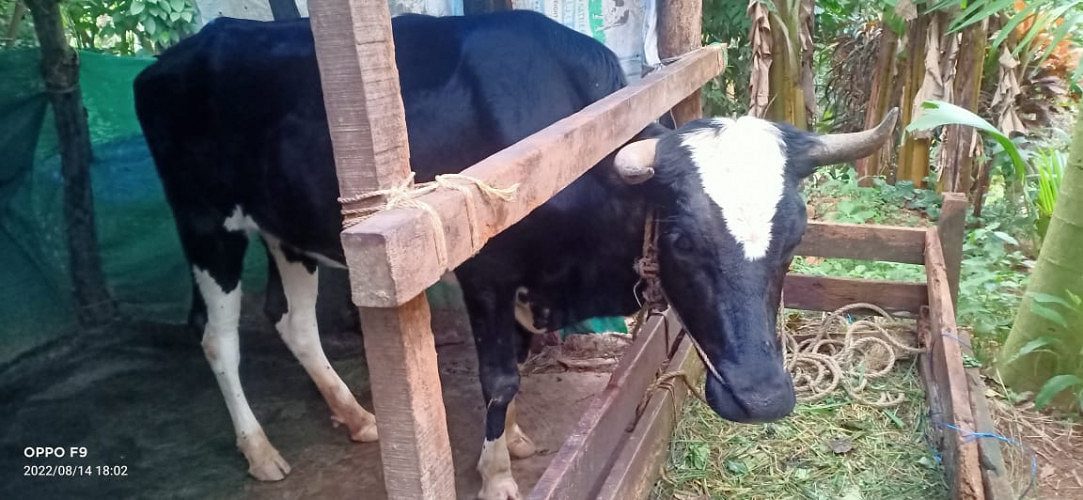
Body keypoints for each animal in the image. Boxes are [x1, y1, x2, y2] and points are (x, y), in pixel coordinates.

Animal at [134, 10, 896, 499]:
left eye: (794, 238)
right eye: (682, 239)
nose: (763, 397)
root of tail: (176, 55)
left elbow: (521, 364)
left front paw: (514, 441)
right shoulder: (487, 273)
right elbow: (499, 376)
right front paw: (496, 473)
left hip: (286, 229)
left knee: (293, 323)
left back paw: (356, 417)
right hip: (206, 222)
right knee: (219, 340)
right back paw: (261, 450)